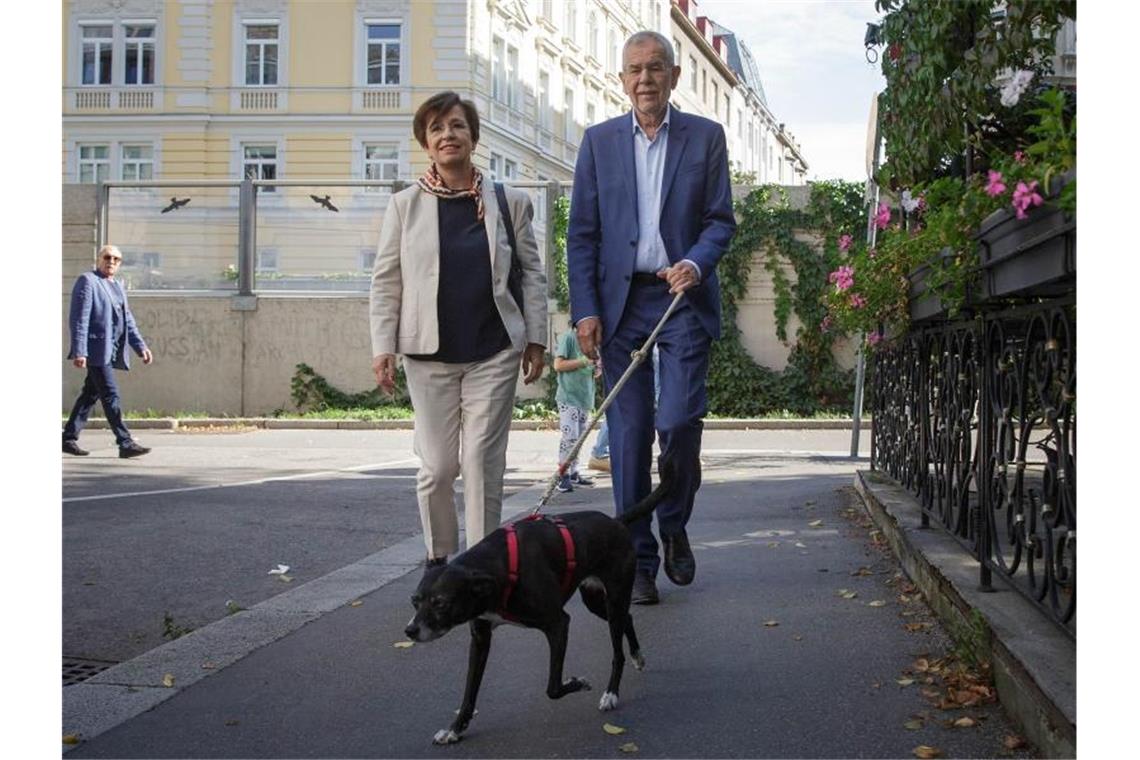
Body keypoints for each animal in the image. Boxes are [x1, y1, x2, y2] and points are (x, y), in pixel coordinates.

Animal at [405, 460, 670, 747]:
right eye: (415, 602)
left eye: (441, 603)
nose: (410, 631)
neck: (498, 567)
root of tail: (616, 522)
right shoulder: (480, 638)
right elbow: (469, 693)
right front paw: (455, 729)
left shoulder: (558, 624)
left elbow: (552, 687)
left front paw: (577, 683)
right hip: (597, 600)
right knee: (627, 618)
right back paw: (637, 656)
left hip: (615, 595)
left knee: (617, 652)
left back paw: (611, 693)